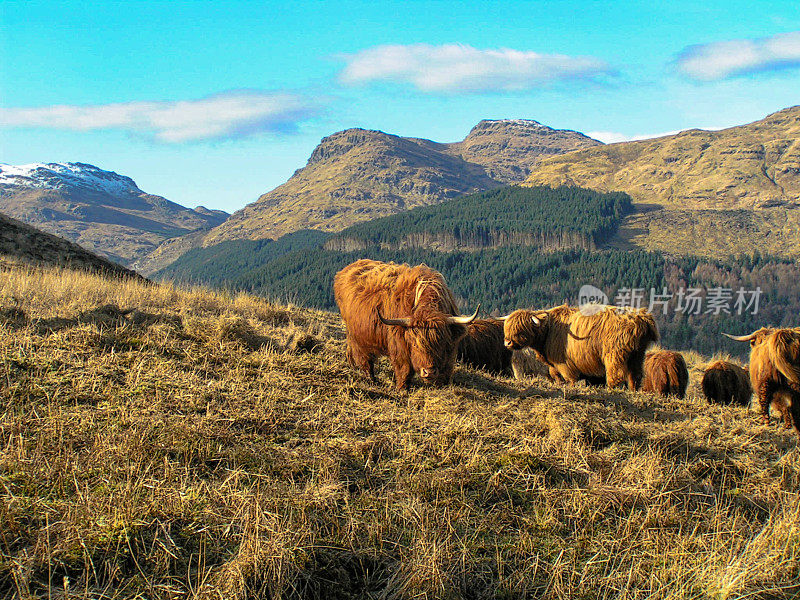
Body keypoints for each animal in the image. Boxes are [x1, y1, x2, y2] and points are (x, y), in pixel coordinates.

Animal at [334, 258, 478, 392]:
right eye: (414, 344)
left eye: (441, 341)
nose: (429, 372)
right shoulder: (399, 345)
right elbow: (404, 368)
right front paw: (403, 388)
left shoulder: (451, 347)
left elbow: (447, 367)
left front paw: (442, 385)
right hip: (358, 337)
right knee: (364, 358)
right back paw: (371, 379)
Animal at [504, 304, 660, 390]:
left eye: (521, 329)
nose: (507, 343)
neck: (548, 330)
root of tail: (641, 318)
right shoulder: (555, 363)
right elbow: (555, 375)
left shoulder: (565, 363)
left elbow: (570, 378)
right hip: (638, 353)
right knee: (636, 375)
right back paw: (633, 390)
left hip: (614, 354)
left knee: (616, 374)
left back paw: (611, 388)